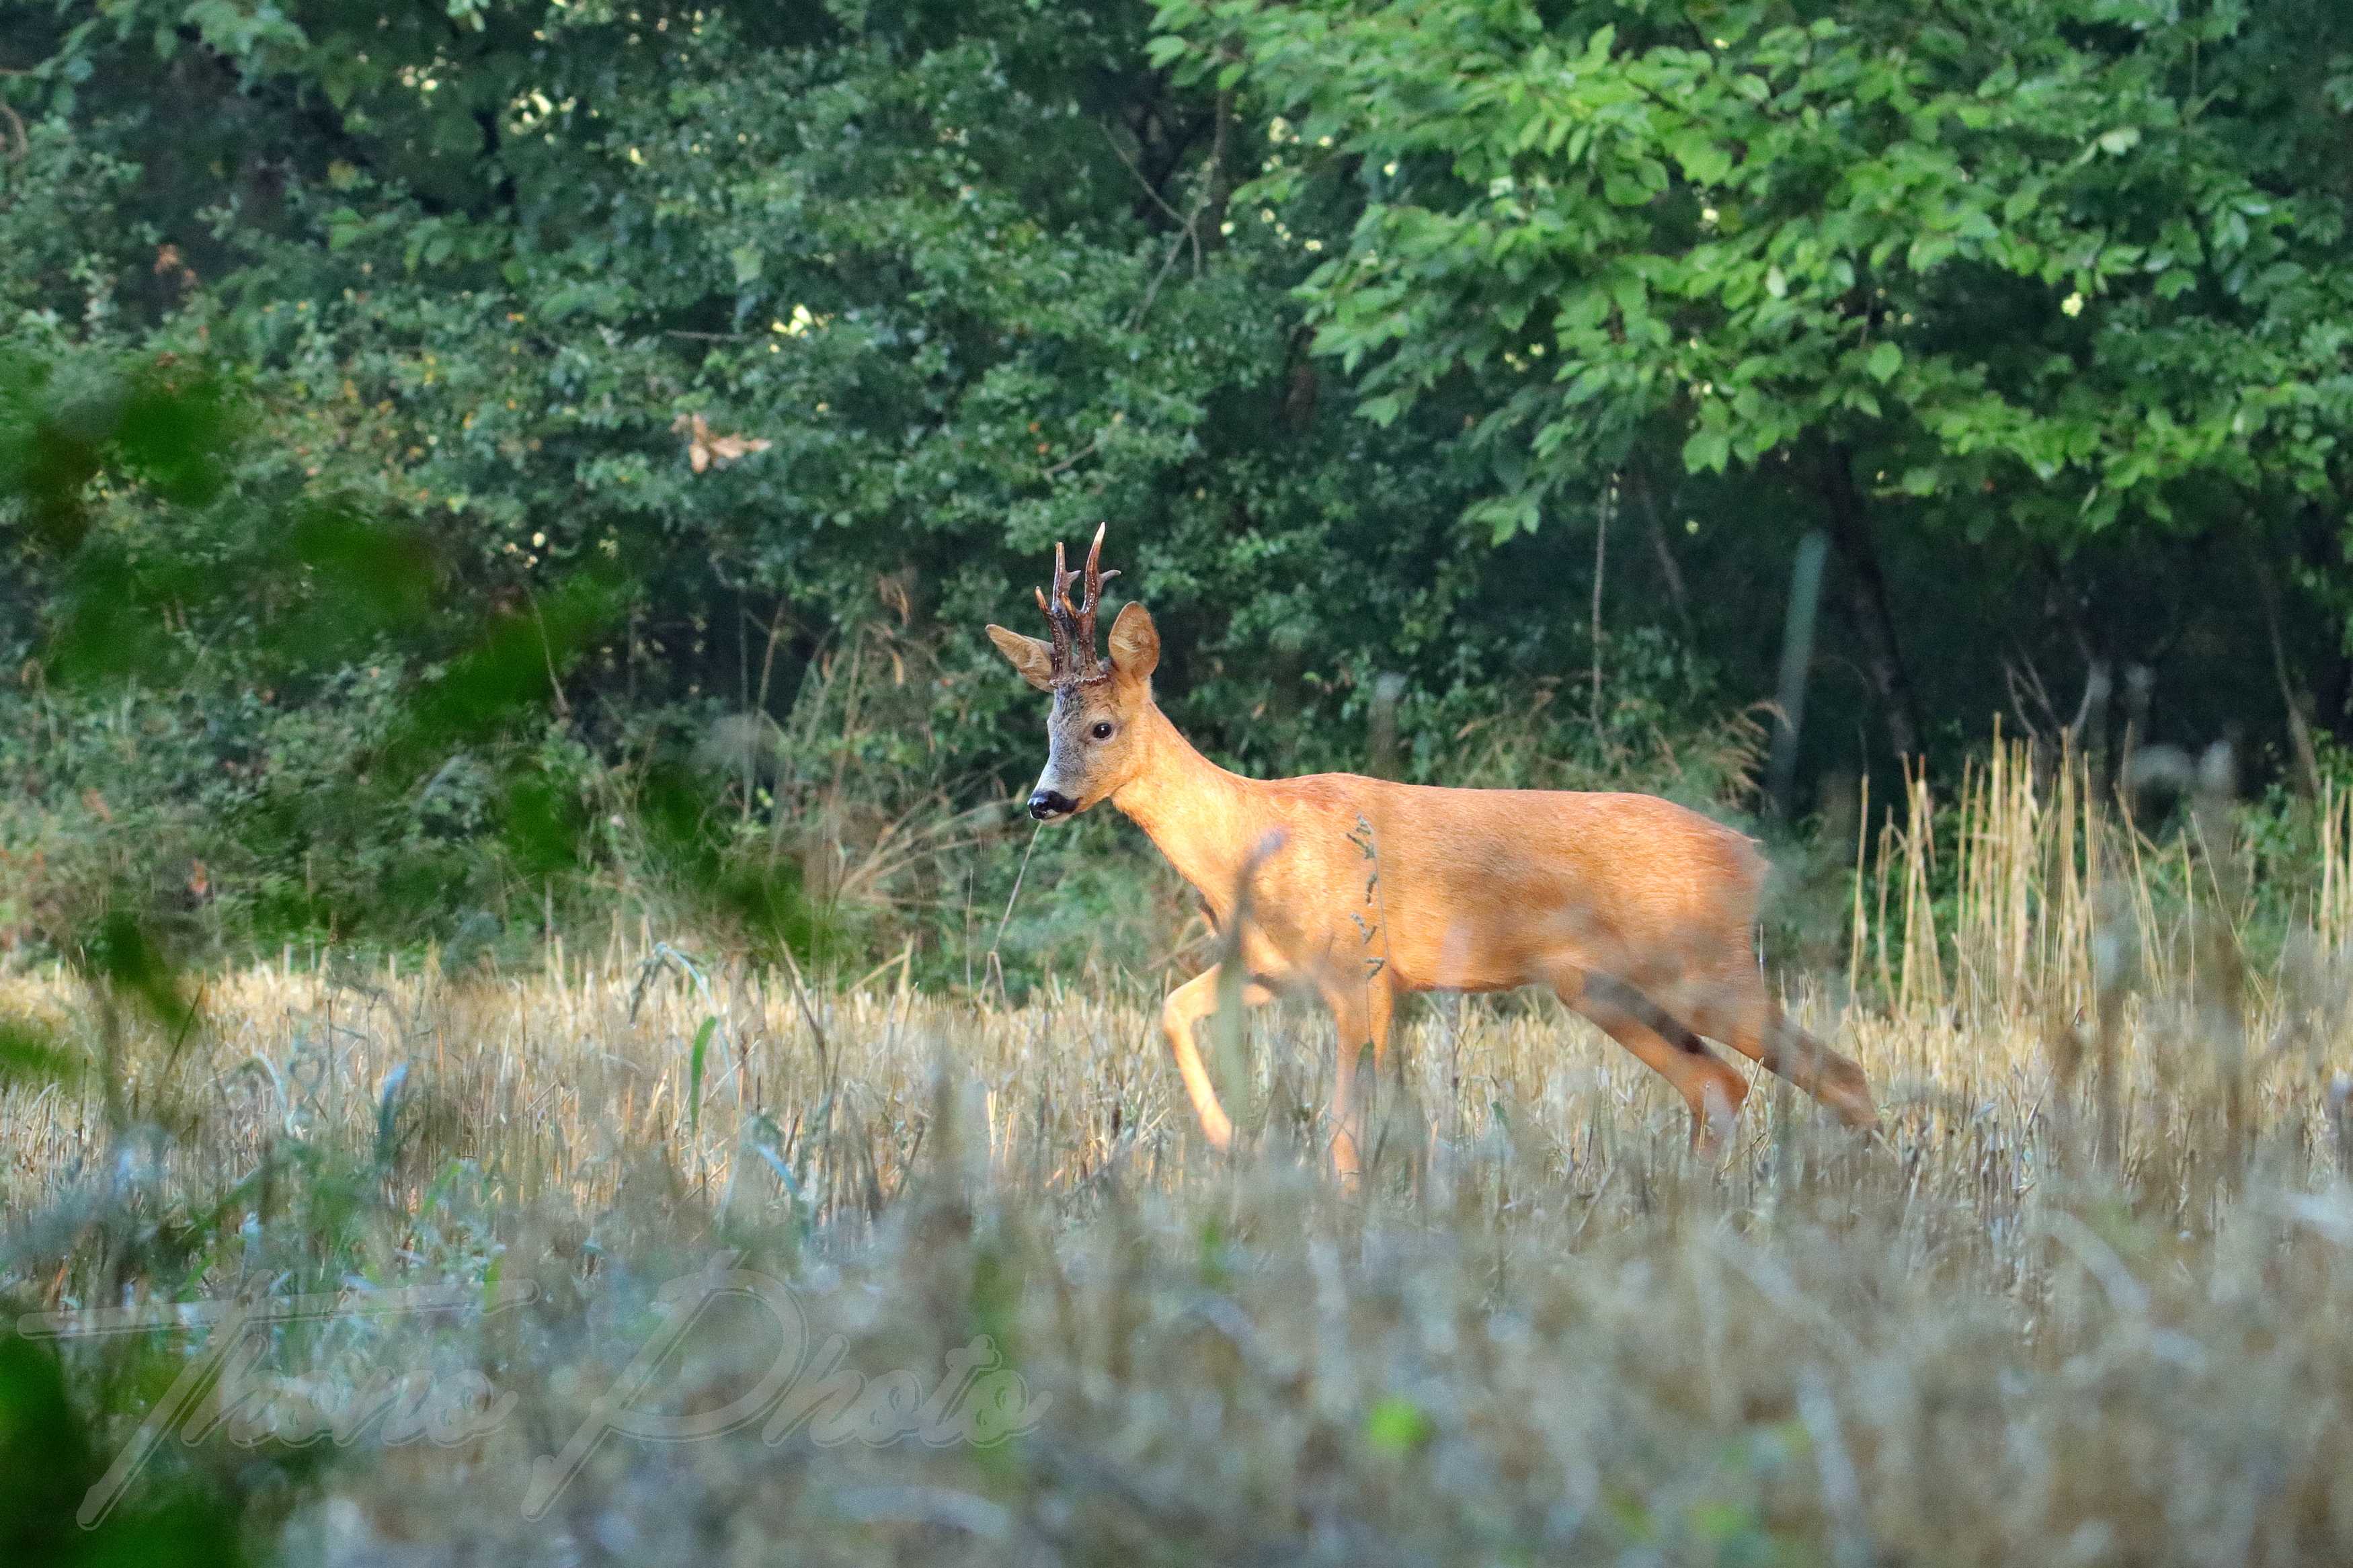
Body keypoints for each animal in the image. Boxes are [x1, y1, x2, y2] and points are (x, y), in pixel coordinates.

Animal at [988, 526, 1873, 1175]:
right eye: (1047, 724)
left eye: (1102, 726)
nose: (1042, 800)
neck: (1250, 844)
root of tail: (1750, 855)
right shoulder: (1276, 969)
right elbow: (1170, 1010)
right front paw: (1227, 1137)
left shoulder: (1362, 972)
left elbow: (1346, 1127)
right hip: (1600, 986)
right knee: (1718, 1084)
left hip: (1702, 965)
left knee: (1839, 1075)